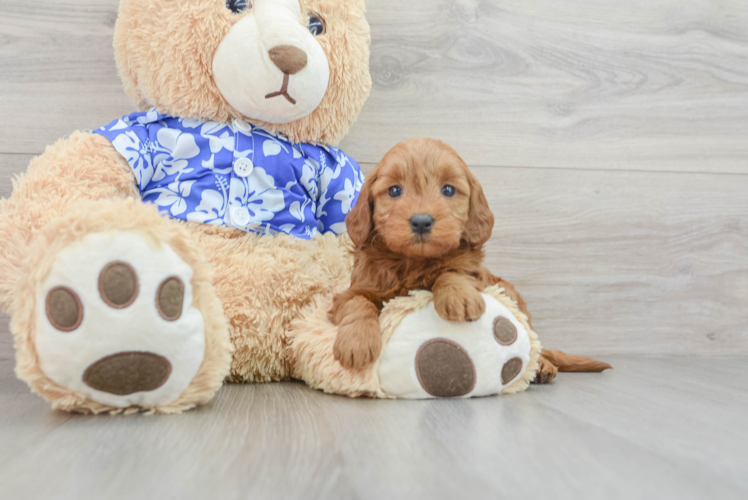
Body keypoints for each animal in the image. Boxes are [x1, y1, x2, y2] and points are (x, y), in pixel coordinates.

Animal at [330, 137, 612, 378]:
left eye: (448, 190)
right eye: (395, 191)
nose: (421, 221)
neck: (413, 262)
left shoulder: (473, 273)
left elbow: (452, 272)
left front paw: (458, 298)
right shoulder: (351, 292)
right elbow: (357, 302)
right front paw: (357, 343)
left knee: (533, 344)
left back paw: (542, 365)